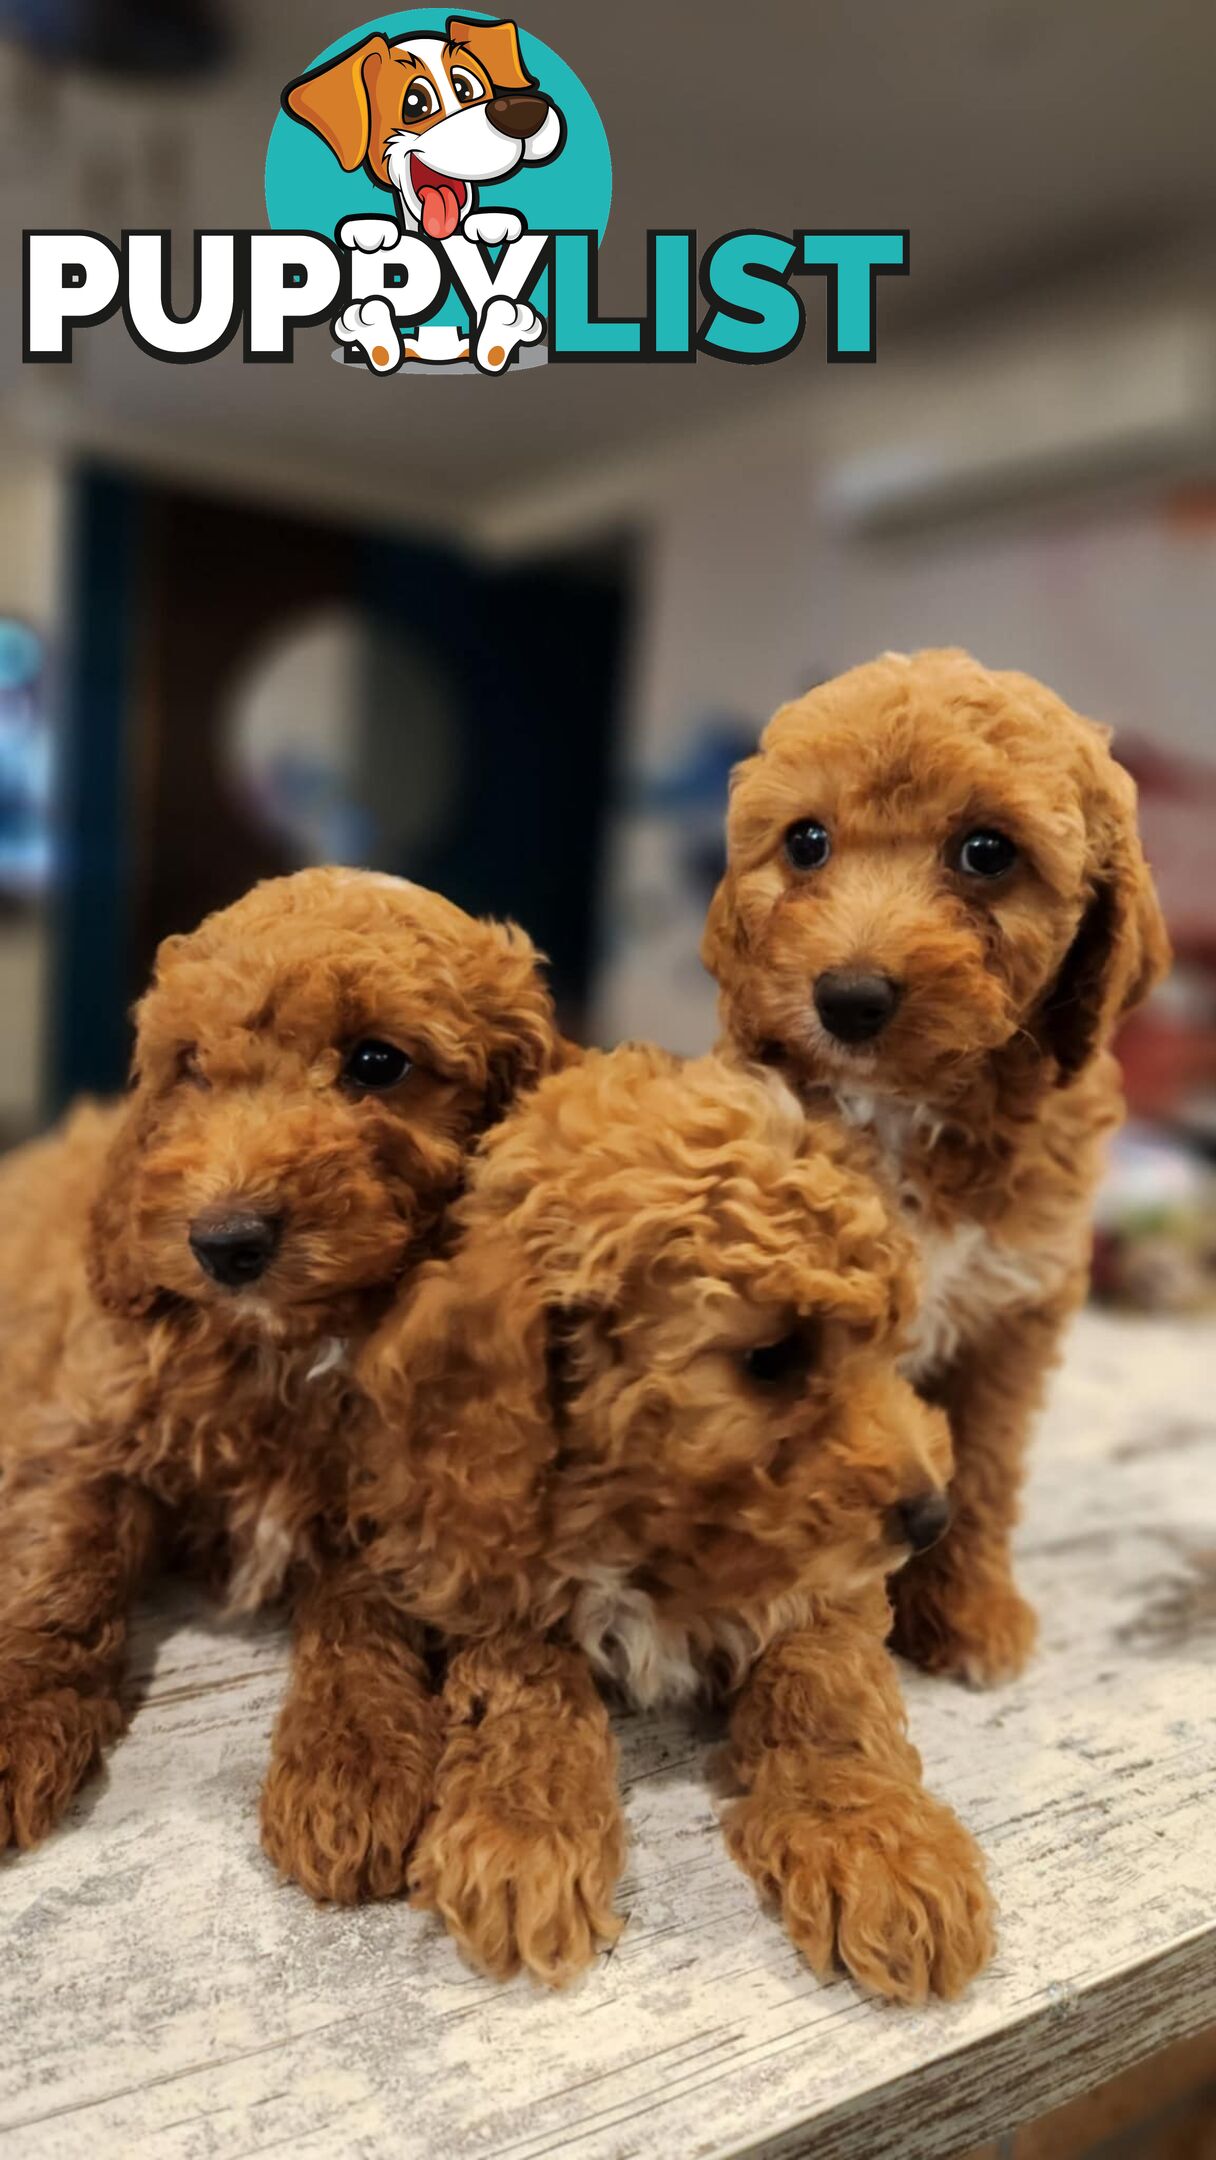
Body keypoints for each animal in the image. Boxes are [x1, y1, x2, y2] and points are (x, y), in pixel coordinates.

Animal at [356, 1045, 993, 2004]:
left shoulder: (831, 1583)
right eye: (770, 1359)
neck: (651, 1523)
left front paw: (880, 1845)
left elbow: (826, 1688)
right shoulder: (480, 1556)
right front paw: (523, 1831)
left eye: (887, 1344)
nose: (930, 1517)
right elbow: (529, 1682)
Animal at [704, 643, 1166, 1684]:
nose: (848, 998)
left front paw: (968, 1613)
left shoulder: (1015, 1311)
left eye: (987, 852)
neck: (913, 1107)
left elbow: (986, 1471)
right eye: (806, 843)